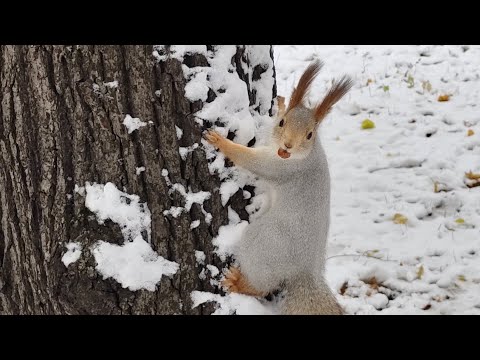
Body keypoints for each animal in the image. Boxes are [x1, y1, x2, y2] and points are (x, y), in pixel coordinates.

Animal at [204, 60, 354, 314]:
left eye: (310, 135)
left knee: (262, 284)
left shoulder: (281, 168)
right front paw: (281, 103)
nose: (287, 147)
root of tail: (302, 271)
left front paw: (222, 142)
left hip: (264, 242)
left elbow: (251, 160)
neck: (305, 155)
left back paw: (239, 283)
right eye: (283, 123)